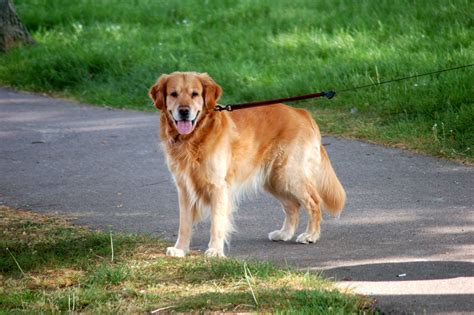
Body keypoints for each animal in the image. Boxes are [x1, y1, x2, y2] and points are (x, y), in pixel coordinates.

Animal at [150, 72, 346, 260]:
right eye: (173, 94)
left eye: (195, 94)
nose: (184, 111)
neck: (195, 137)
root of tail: (302, 112)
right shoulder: (184, 188)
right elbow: (184, 224)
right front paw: (180, 249)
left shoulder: (218, 187)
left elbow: (217, 223)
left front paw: (215, 251)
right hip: (275, 179)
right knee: (293, 206)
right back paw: (284, 233)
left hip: (290, 175)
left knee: (313, 202)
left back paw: (311, 235)